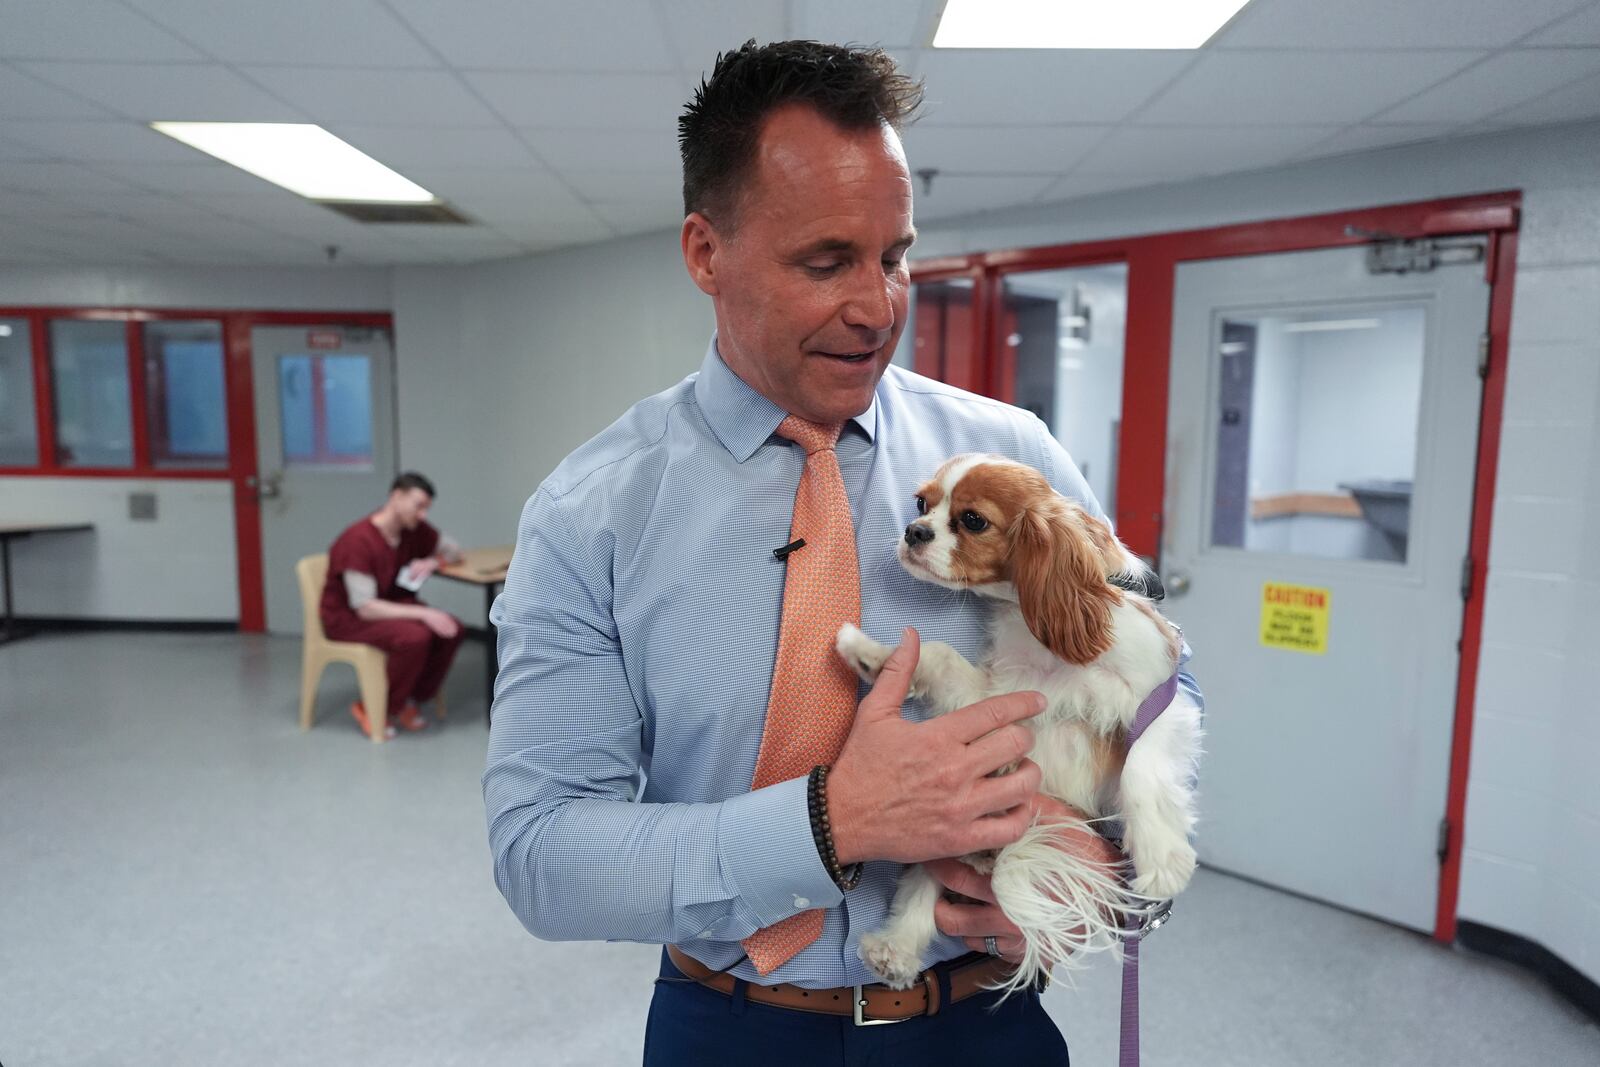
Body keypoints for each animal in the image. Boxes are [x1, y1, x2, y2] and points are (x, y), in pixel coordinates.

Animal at [838, 454, 1203, 991]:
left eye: (972, 520)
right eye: (922, 504)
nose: (913, 530)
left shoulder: (1161, 697)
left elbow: (1142, 768)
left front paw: (1160, 859)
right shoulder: (998, 696)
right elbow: (940, 655)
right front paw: (873, 654)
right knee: (925, 877)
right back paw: (898, 945)